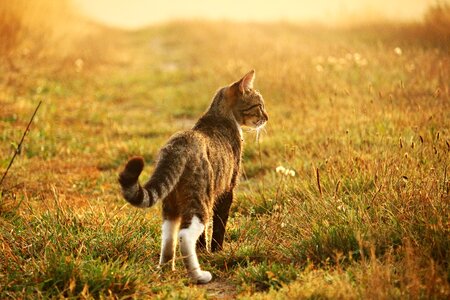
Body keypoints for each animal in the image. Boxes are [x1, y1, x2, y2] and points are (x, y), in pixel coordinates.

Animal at [118, 70, 268, 284]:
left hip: (172, 204)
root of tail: (178, 145)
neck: (220, 116)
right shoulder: (227, 189)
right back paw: (198, 275)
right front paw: (217, 251)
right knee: (185, 236)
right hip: (200, 199)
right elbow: (219, 225)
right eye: (259, 105)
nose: (267, 117)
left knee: (169, 236)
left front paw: (204, 250)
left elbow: (203, 236)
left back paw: (166, 270)